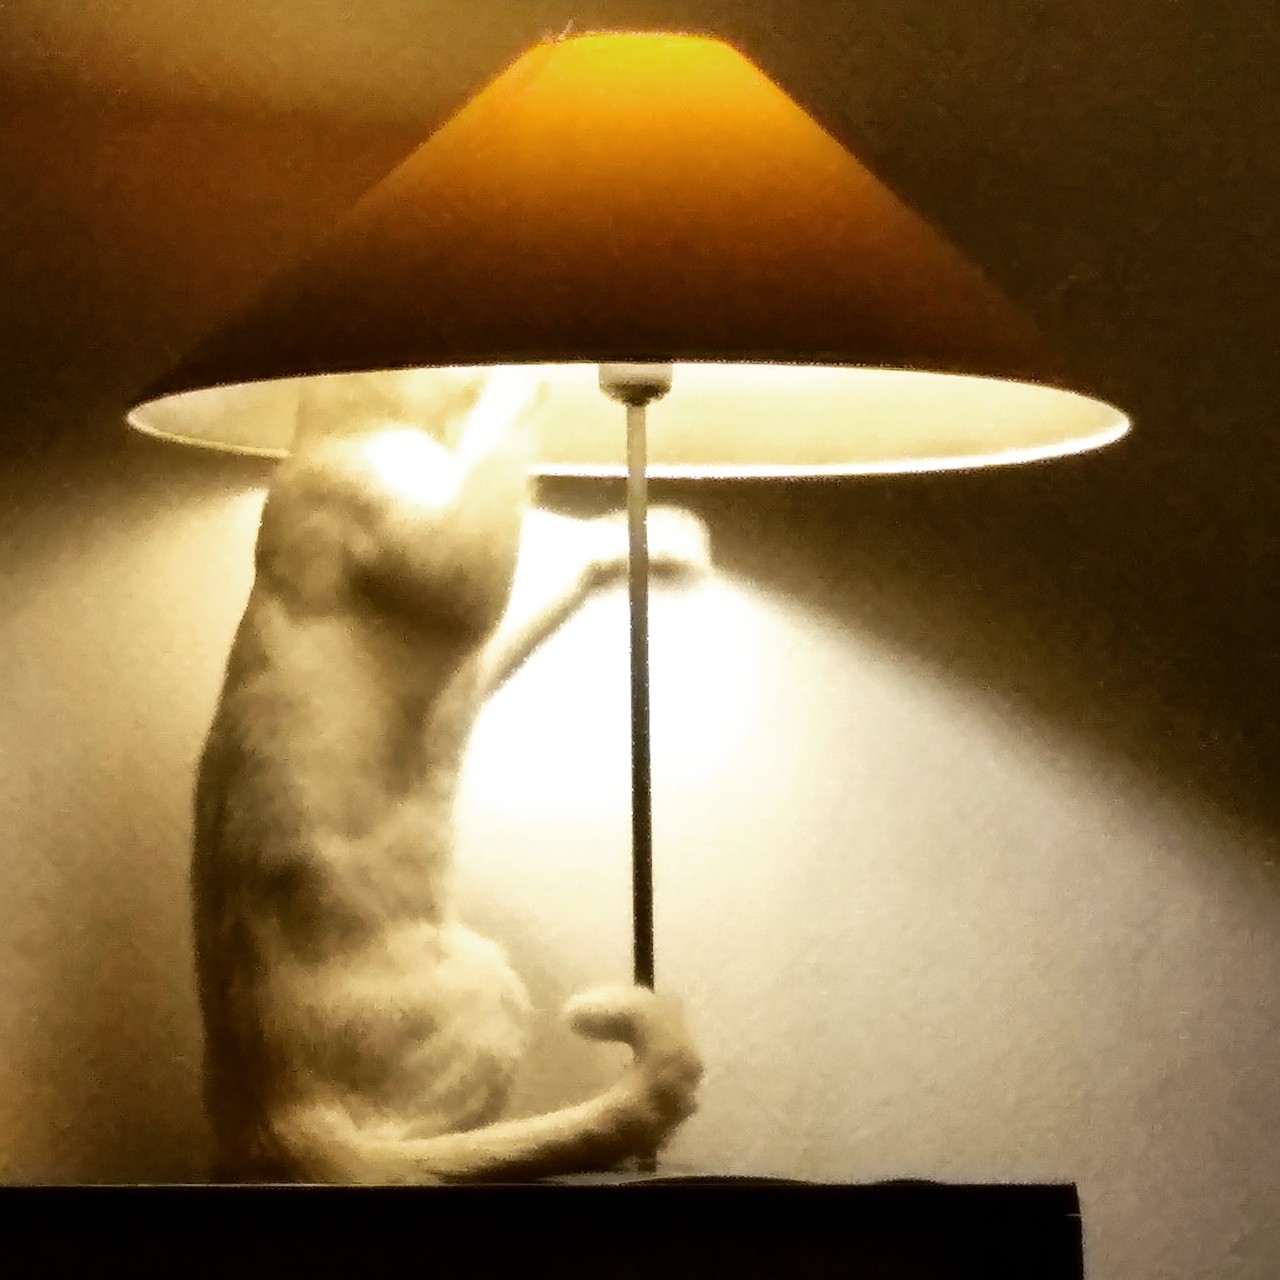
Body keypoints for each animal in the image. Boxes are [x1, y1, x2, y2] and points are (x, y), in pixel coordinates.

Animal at [192, 366, 706, 1183]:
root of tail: (279, 1120)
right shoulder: (447, 561)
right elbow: (494, 482)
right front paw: (525, 377)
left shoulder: (480, 640)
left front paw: (656, 540)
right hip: (494, 989)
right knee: (427, 1155)